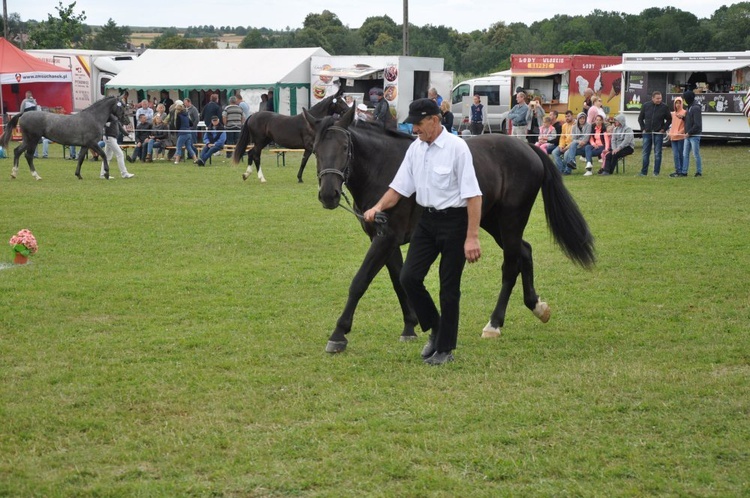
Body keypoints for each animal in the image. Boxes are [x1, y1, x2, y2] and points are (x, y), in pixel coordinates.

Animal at [1, 96, 129, 180]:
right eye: (122, 106)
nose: (126, 120)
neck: (93, 117)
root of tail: (24, 113)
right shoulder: (92, 143)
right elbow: (103, 155)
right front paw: (107, 174)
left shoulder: (85, 145)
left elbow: (81, 159)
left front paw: (78, 175)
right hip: (33, 140)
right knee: (28, 155)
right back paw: (36, 176)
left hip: (28, 140)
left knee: (17, 151)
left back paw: (14, 173)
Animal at [302, 106, 596, 354]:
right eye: (315, 149)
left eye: (344, 147)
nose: (328, 194)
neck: (384, 168)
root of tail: (528, 148)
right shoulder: (384, 237)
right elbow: (399, 281)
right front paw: (410, 327)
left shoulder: (387, 238)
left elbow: (360, 281)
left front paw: (339, 334)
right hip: (492, 221)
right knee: (524, 251)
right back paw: (536, 306)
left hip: (511, 220)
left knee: (511, 265)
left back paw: (494, 324)